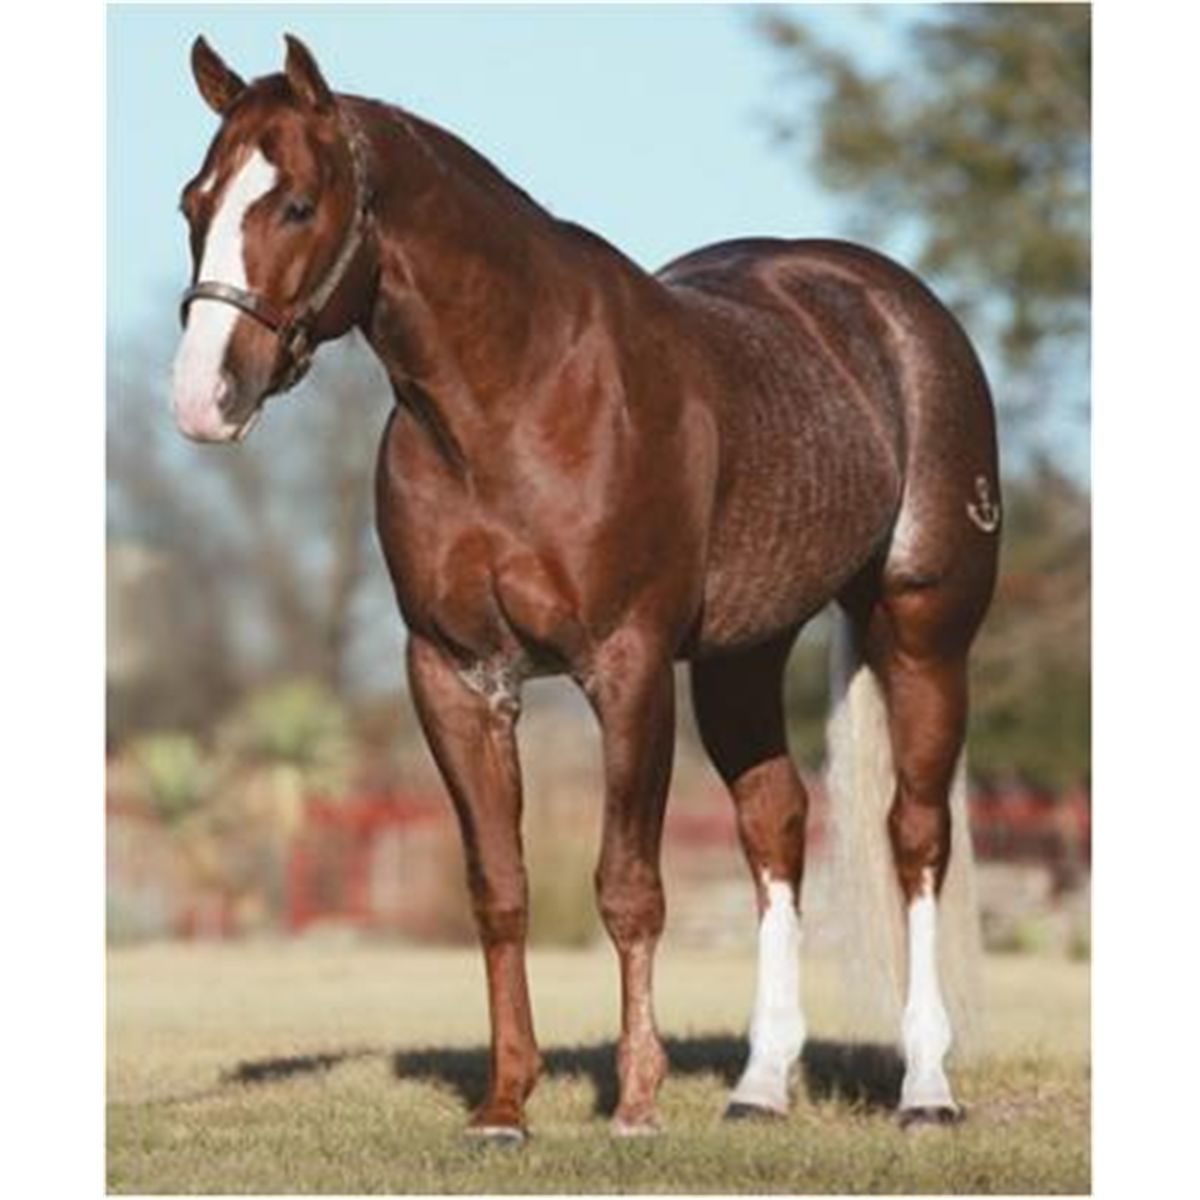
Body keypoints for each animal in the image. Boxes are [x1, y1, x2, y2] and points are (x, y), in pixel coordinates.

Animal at [170, 35, 1000, 1141]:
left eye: (298, 203)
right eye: (193, 201)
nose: (203, 397)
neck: (513, 400)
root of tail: (889, 304)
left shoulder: (628, 665)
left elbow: (628, 885)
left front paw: (637, 1102)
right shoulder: (457, 675)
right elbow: (501, 886)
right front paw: (504, 1105)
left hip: (922, 630)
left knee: (915, 836)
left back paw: (926, 1090)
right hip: (743, 656)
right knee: (774, 824)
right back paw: (759, 1087)